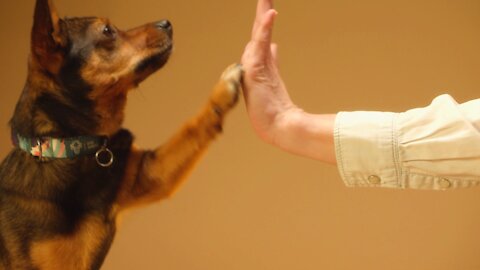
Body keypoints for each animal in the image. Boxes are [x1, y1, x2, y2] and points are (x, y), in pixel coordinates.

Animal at [0, 1, 242, 268]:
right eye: (107, 31)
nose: (166, 23)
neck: (70, 147)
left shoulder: (149, 174)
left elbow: (191, 129)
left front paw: (225, 88)